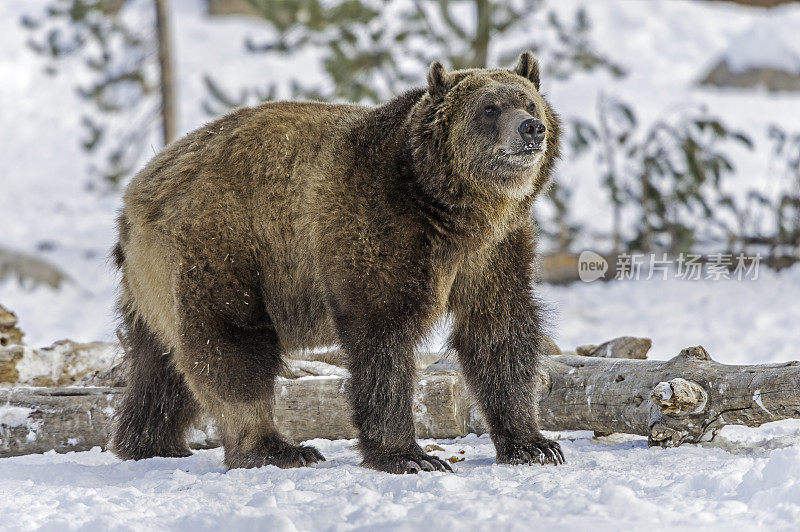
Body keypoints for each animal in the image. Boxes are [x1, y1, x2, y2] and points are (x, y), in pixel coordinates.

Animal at [111, 52, 564, 472]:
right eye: (489, 108)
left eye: (528, 101)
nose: (530, 128)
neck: (450, 209)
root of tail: (136, 190)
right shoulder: (374, 226)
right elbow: (382, 337)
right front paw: (407, 455)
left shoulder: (492, 251)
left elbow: (498, 331)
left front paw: (534, 445)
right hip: (223, 247)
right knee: (231, 344)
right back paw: (275, 448)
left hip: (153, 285)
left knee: (159, 367)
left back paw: (148, 442)